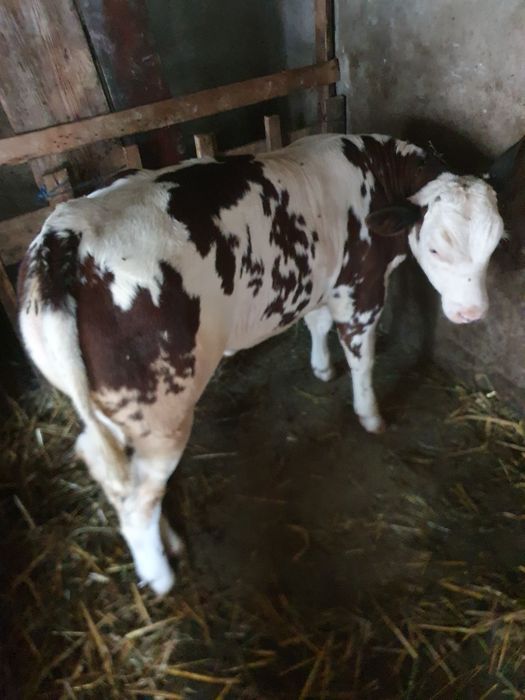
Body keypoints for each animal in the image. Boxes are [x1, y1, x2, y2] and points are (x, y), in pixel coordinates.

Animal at [18, 134, 504, 594]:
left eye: (495, 245)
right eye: (436, 250)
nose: (472, 313)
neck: (377, 175)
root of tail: (66, 232)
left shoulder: (319, 280)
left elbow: (315, 323)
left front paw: (321, 367)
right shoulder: (360, 290)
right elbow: (361, 361)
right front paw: (370, 415)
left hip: (112, 407)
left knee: (110, 468)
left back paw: (169, 539)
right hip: (159, 407)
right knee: (137, 502)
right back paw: (160, 576)